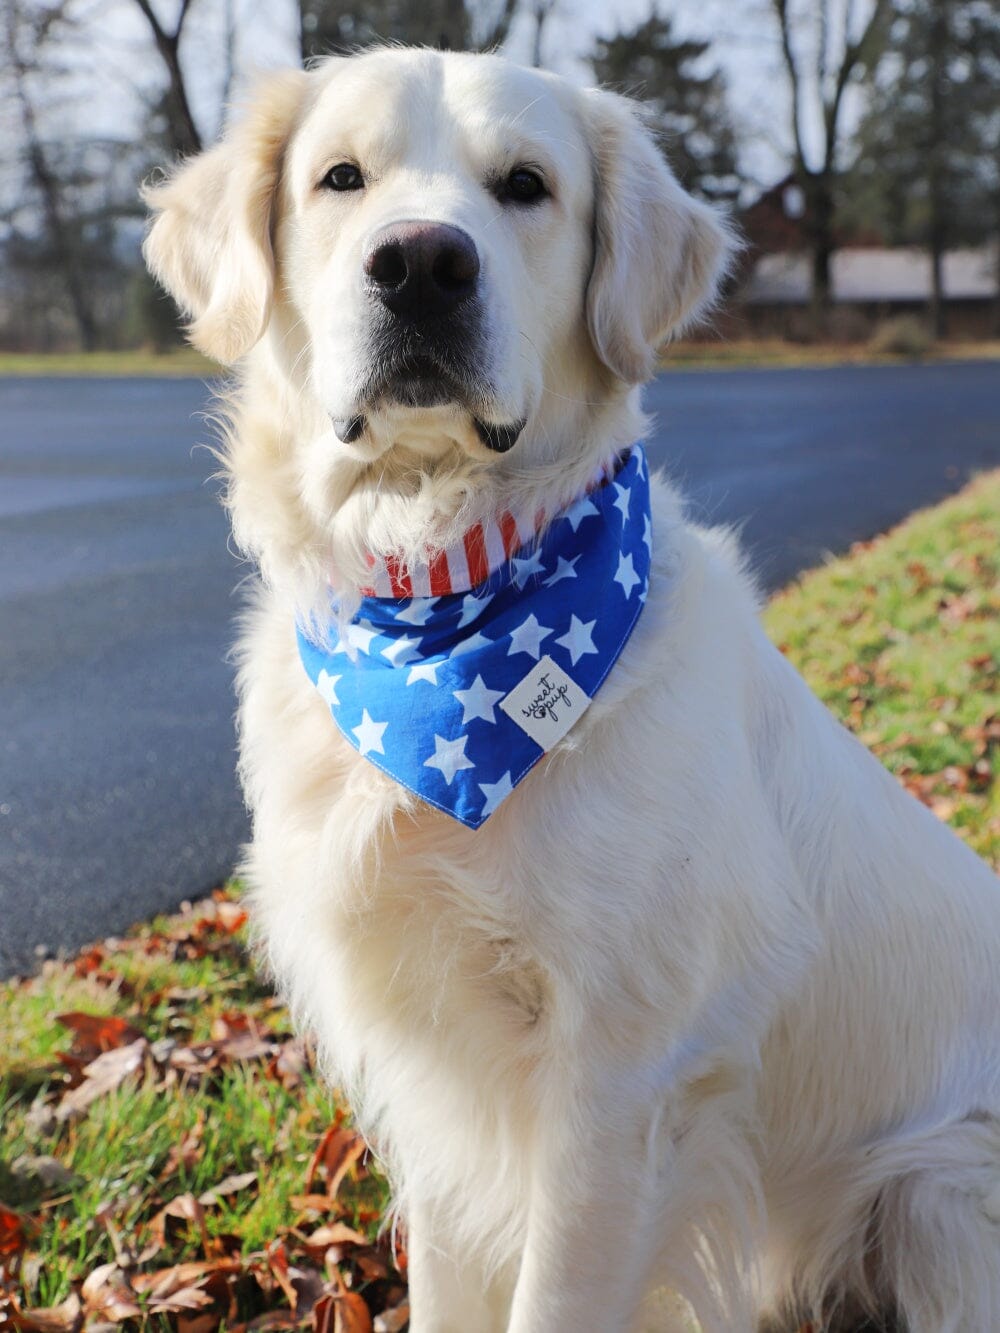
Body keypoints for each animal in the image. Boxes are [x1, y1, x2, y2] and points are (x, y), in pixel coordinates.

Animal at [144, 46, 1000, 1327]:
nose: (421, 263)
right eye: (341, 177)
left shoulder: (621, 1079)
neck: (442, 600)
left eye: (525, 186)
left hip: (943, 1185)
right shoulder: (440, 1078)